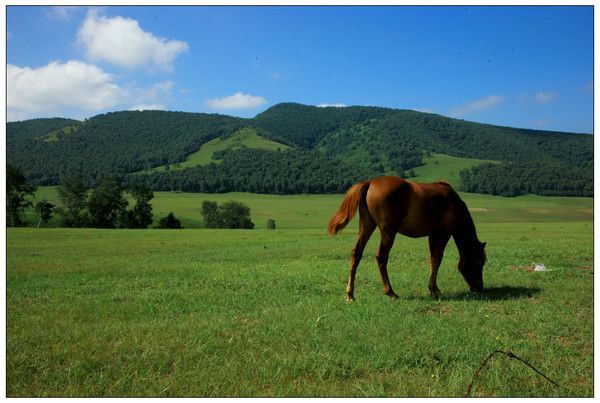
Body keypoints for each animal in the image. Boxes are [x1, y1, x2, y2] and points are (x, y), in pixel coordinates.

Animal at [326, 175, 486, 302]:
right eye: (479, 262)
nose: (479, 287)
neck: (452, 203)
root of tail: (370, 183)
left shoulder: (432, 235)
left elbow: (432, 259)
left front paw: (433, 288)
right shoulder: (442, 234)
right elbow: (437, 259)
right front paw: (434, 289)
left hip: (367, 226)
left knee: (356, 254)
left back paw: (350, 294)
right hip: (388, 232)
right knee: (381, 257)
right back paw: (390, 292)